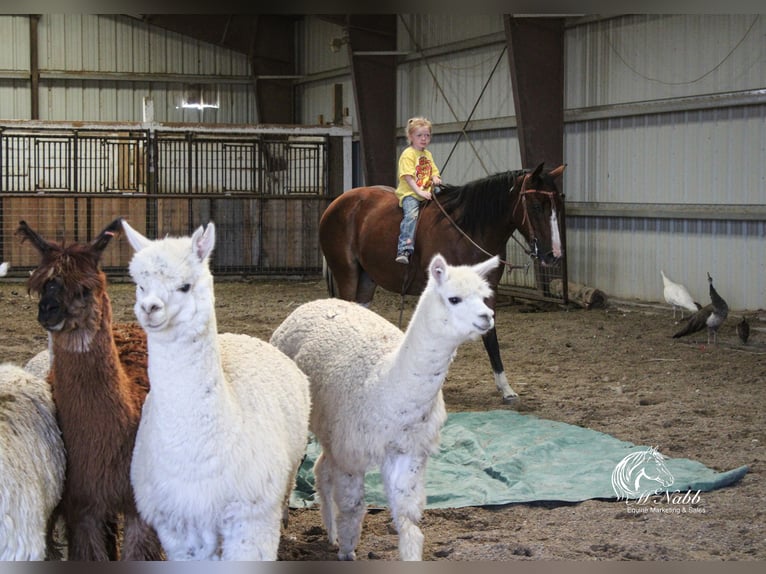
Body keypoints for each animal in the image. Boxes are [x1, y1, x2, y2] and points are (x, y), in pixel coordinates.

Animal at [319, 162, 566, 404]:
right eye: (535, 205)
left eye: (557, 204)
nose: (553, 255)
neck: (467, 231)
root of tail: (337, 204)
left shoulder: (489, 293)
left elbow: (490, 337)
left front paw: (506, 389)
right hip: (347, 274)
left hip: (366, 281)